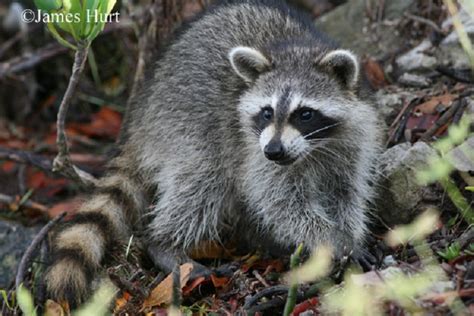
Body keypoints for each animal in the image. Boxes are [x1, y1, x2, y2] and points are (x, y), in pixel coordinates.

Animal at [44, 0, 384, 306]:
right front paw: (331, 239)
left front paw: (350, 235)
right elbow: (280, 202)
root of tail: (143, 108)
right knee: (203, 182)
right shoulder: (256, 150)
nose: (274, 150)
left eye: (305, 114)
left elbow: (346, 193)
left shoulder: (352, 143)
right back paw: (165, 245)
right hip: (184, 121)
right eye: (266, 112)